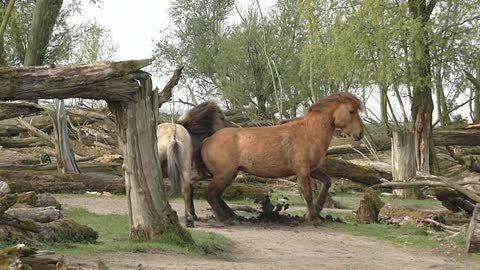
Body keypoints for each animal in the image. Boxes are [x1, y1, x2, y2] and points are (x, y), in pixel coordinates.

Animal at [200, 93, 364, 224]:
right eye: (351, 111)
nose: (360, 134)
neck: (309, 133)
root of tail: (208, 140)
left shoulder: (313, 170)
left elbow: (327, 182)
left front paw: (317, 209)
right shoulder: (303, 171)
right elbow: (308, 194)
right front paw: (313, 218)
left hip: (229, 175)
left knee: (217, 196)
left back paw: (232, 216)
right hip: (224, 174)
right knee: (211, 194)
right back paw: (225, 218)